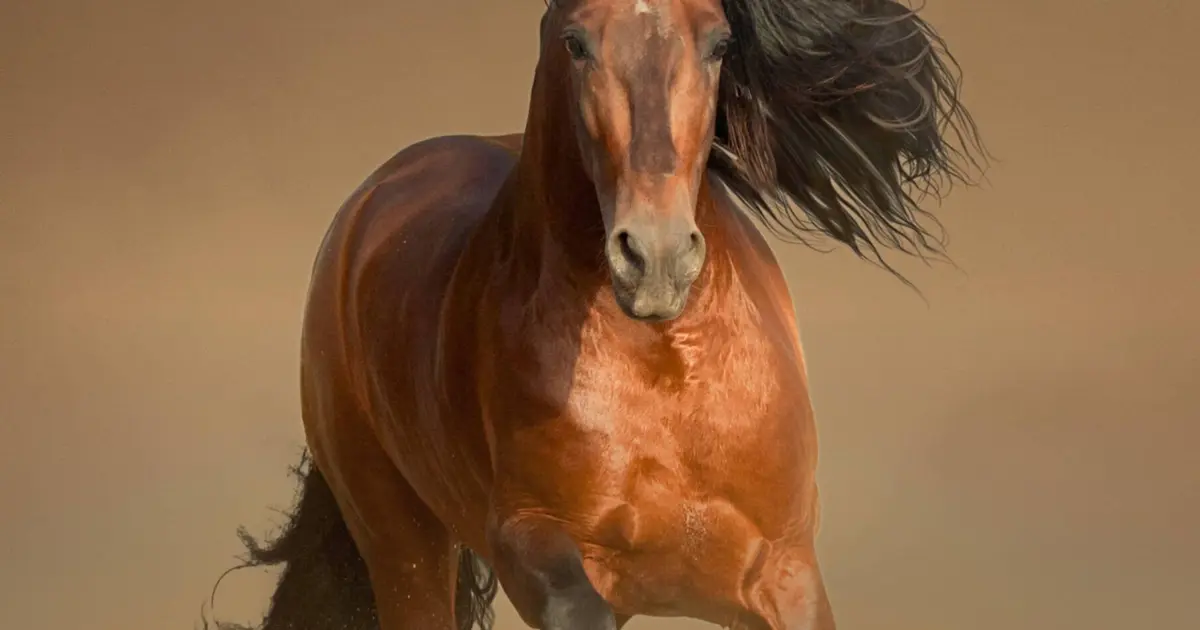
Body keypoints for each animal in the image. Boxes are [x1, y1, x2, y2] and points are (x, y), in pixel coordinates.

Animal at [208, 0, 982, 628]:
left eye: (719, 42)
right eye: (576, 41)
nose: (656, 255)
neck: (667, 371)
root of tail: (365, 208)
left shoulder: (784, 570)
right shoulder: (535, 543)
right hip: (402, 547)